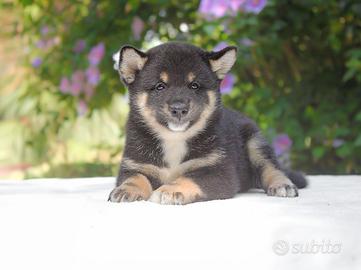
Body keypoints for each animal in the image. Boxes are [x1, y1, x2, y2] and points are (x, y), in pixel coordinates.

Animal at [107, 42, 306, 205]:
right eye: (159, 86)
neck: (174, 140)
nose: (179, 109)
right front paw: (126, 190)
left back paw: (283, 184)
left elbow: (189, 178)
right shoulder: (134, 165)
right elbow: (136, 178)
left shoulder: (219, 171)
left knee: (271, 167)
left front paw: (170, 190)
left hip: (255, 142)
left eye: (194, 85)